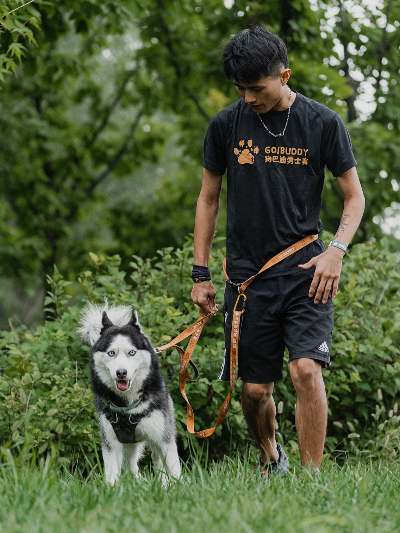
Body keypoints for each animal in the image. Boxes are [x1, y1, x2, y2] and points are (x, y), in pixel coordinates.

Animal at [77, 304, 180, 482]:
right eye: (111, 353)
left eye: (131, 352)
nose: (121, 373)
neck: (127, 405)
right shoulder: (111, 443)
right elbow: (112, 475)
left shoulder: (164, 440)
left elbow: (174, 471)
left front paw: (178, 485)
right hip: (130, 446)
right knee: (132, 468)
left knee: (158, 465)